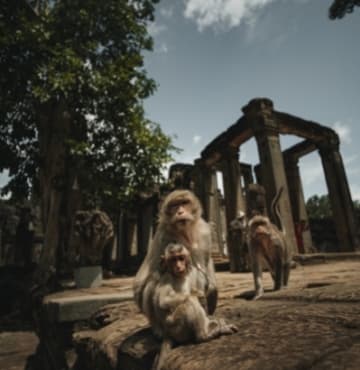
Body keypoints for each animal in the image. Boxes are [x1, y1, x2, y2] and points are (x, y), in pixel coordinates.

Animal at [134, 189, 218, 336]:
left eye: (184, 202)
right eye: (174, 206)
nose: (180, 212)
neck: (186, 233)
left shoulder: (204, 230)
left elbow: (206, 261)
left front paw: (212, 290)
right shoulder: (163, 236)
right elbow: (141, 285)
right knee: (153, 281)